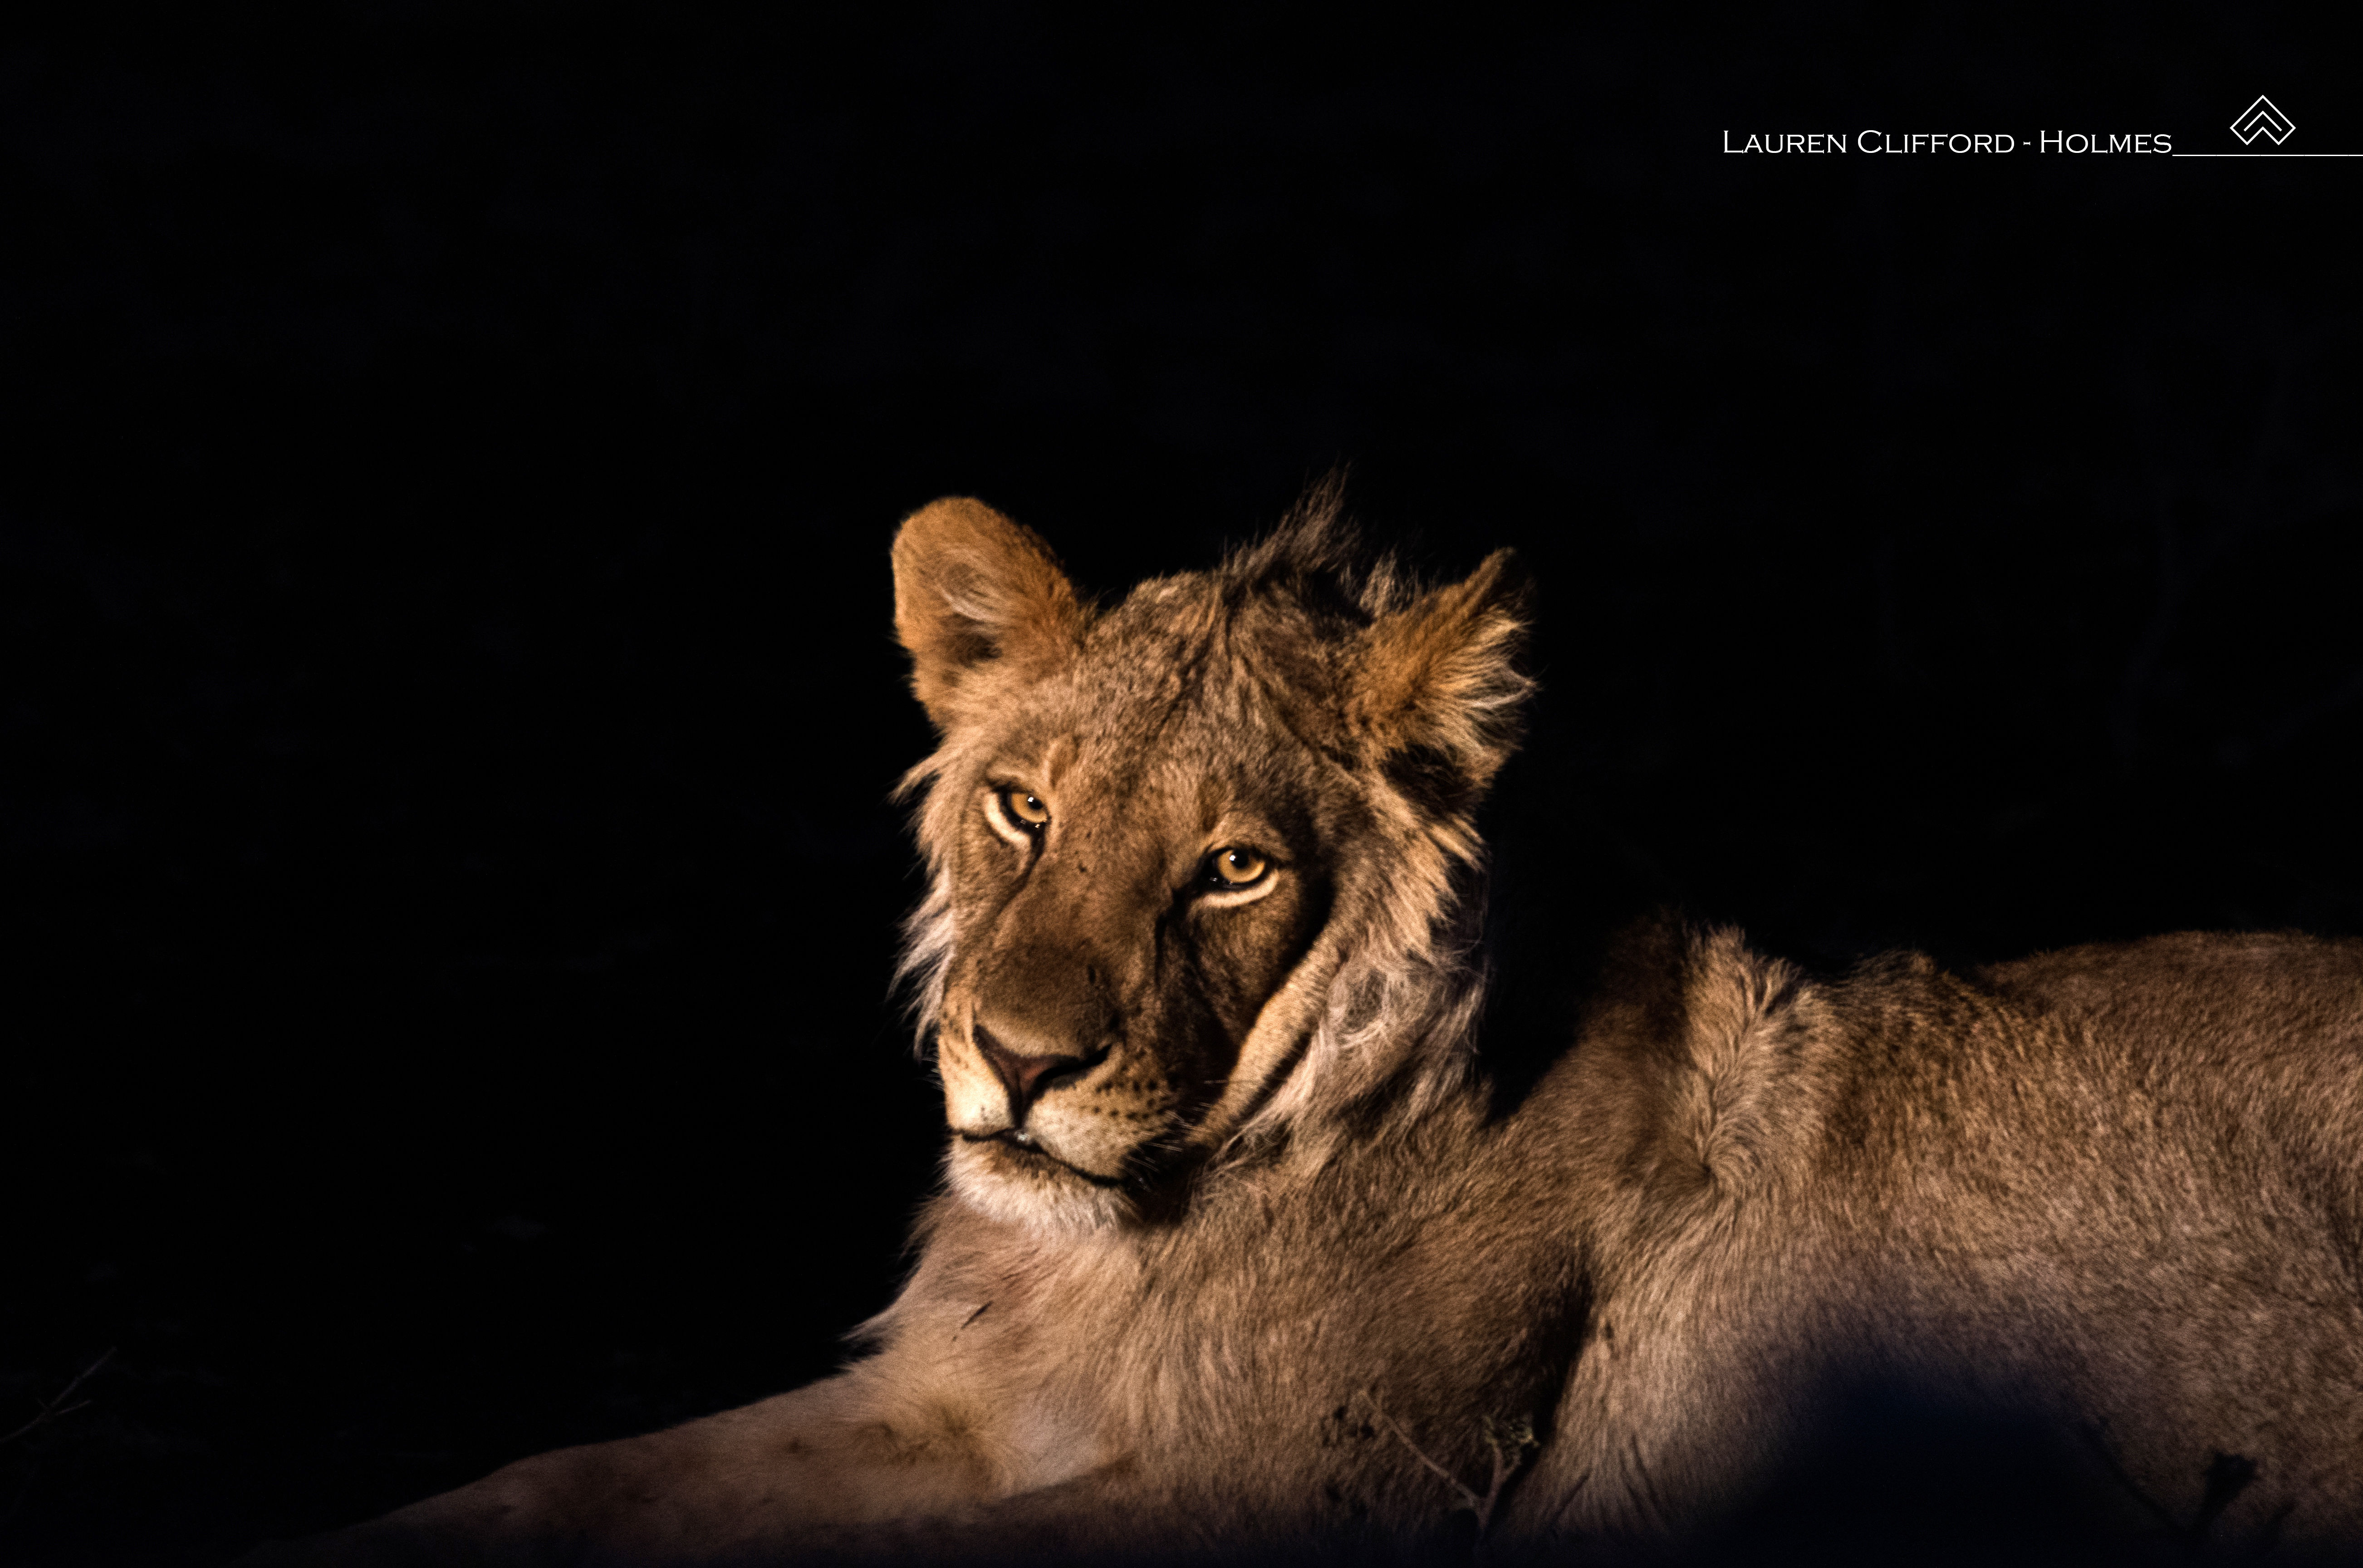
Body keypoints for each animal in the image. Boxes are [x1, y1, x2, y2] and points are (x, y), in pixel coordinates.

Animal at [253, 490, 2363, 1564]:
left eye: (1234, 870)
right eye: (1023, 810)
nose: (1017, 1062)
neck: (1134, 1242)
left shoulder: (1337, 1485)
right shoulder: (958, 1398)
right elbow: (564, 1479)